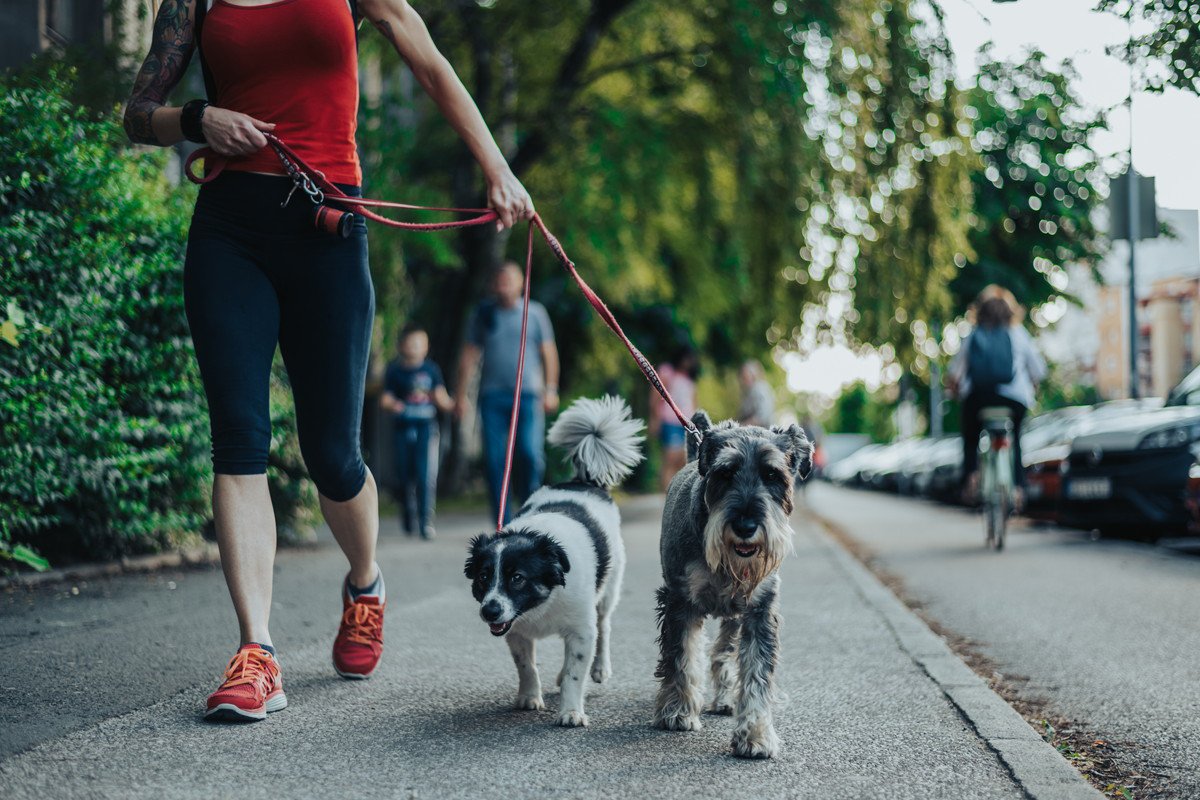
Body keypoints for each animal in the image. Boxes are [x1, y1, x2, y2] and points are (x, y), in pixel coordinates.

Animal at [463, 398, 643, 729]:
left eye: (517, 578)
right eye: (483, 577)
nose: (489, 611)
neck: (542, 601)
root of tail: (582, 481)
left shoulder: (581, 630)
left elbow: (576, 673)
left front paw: (571, 711)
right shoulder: (516, 631)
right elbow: (526, 666)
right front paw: (529, 697)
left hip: (607, 592)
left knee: (604, 625)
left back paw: (600, 667)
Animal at [652, 410, 811, 762]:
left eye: (772, 474)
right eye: (725, 473)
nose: (746, 526)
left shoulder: (759, 611)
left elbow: (755, 673)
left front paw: (755, 735)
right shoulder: (680, 601)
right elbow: (682, 657)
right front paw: (678, 712)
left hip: (734, 617)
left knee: (721, 652)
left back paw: (725, 699)